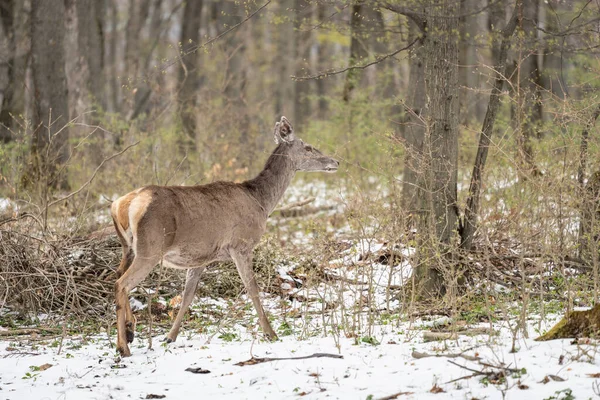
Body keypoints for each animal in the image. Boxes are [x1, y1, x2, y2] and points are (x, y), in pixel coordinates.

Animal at [111, 115, 338, 356]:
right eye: (308, 147)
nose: (335, 162)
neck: (261, 201)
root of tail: (122, 205)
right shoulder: (241, 244)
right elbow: (252, 288)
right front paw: (271, 333)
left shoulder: (200, 257)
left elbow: (187, 296)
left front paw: (170, 337)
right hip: (150, 247)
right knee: (122, 283)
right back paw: (123, 346)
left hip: (129, 248)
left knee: (118, 274)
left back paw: (130, 331)